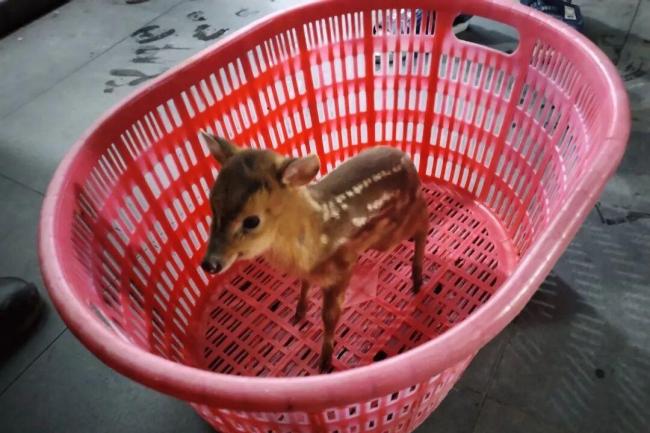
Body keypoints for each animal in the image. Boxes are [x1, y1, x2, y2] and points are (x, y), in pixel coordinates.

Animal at [199, 131, 428, 372]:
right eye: (213, 206)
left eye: (252, 221)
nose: (210, 263)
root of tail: (408, 160)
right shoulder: (309, 271)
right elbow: (304, 285)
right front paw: (299, 314)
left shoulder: (342, 267)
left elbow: (329, 317)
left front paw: (325, 363)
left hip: (392, 232)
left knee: (424, 221)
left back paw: (417, 279)